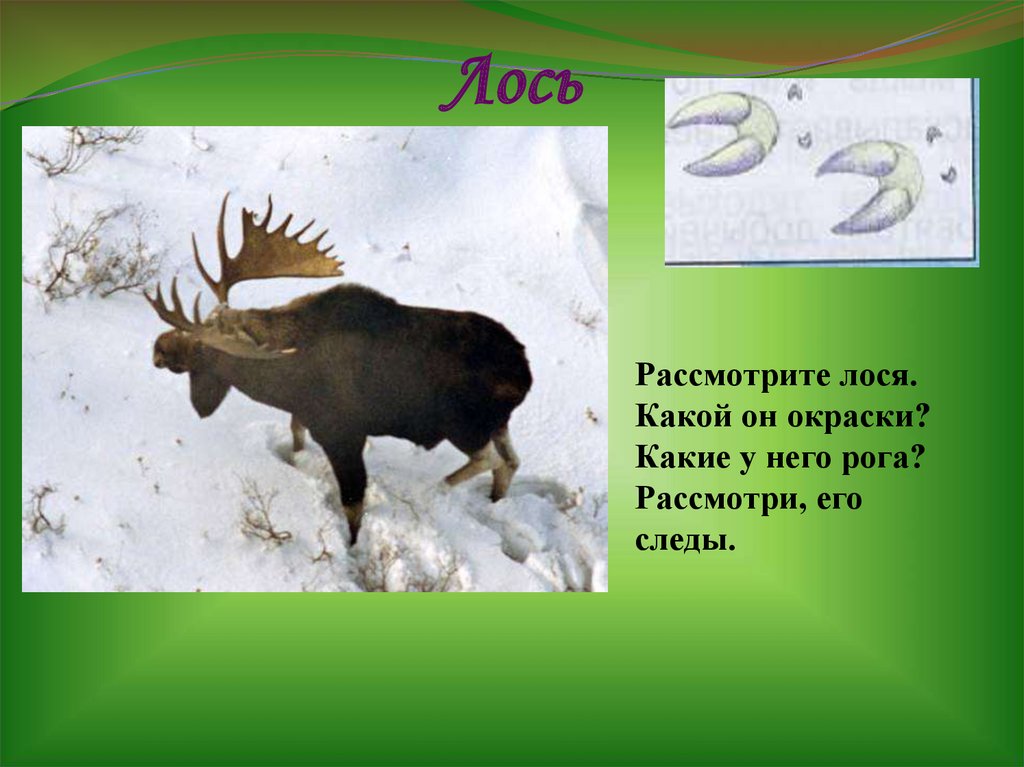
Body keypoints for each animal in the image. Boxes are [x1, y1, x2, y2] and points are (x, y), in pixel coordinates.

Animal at [146, 194, 532, 543]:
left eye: (203, 345)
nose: (158, 349)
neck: (282, 383)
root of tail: (525, 375)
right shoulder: (304, 414)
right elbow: (296, 437)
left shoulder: (343, 433)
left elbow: (352, 506)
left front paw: (352, 545)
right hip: (497, 423)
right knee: (511, 461)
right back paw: (493, 501)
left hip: (464, 425)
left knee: (491, 460)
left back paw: (439, 488)